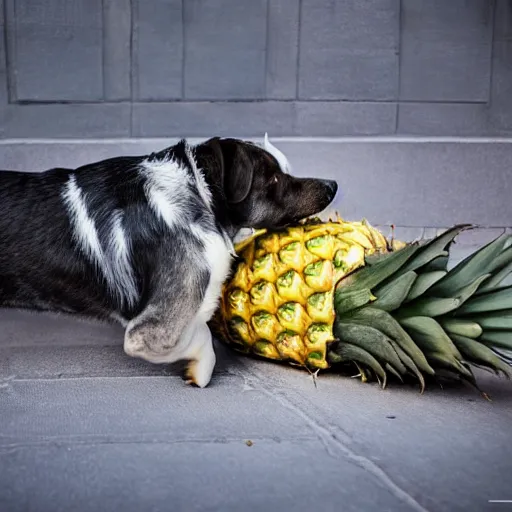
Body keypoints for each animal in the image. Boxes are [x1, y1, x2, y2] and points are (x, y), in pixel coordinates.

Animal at [0, 136, 338, 388]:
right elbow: (200, 337)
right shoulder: (151, 329)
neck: (200, 194)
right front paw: (199, 370)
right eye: (275, 178)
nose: (333, 185)